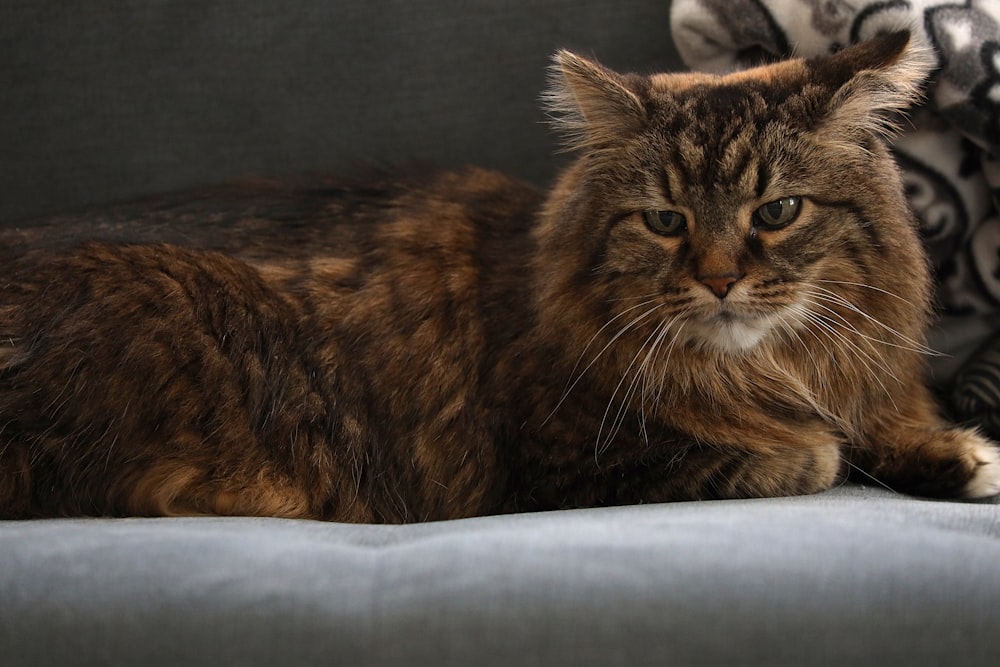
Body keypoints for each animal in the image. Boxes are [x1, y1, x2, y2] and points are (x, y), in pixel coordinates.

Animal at [1, 31, 1000, 520]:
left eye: (778, 211)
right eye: (666, 221)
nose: (719, 281)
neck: (761, 368)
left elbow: (889, 422)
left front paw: (961, 455)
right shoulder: (560, 460)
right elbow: (803, 453)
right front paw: (831, 447)